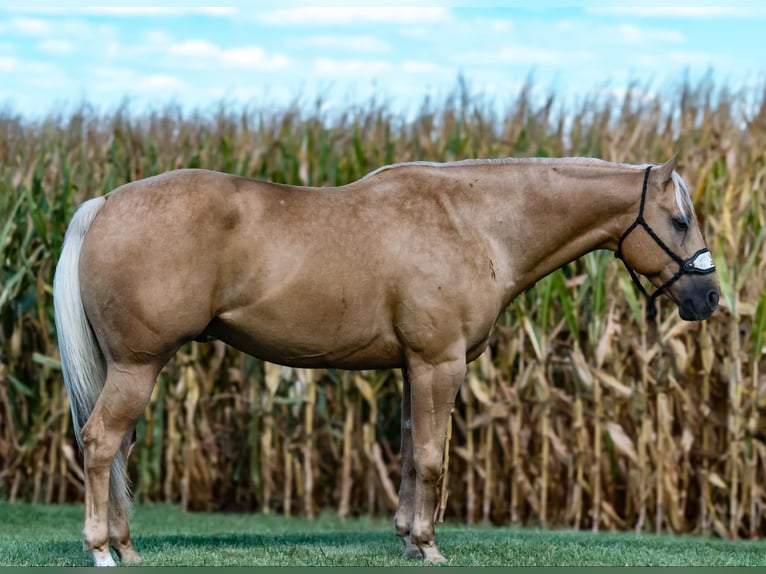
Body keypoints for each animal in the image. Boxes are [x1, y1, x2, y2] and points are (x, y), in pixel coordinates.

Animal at [52, 156, 720, 568]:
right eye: (678, 220)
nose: (708, 298)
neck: (474, 223)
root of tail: (105, 203)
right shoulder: (438, 364)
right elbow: (429, 458)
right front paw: (429, 545)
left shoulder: (411, 368)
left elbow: (405, 450)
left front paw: (406, 542)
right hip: (138, 366)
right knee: (101, 442)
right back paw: (101, 551)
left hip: (130, 369)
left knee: (116, 450)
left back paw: (127, 548)